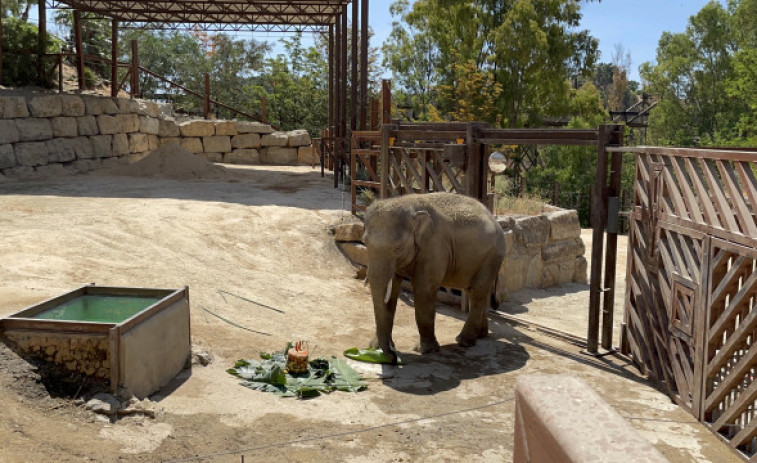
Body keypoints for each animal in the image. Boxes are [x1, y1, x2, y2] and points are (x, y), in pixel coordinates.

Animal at [364, 193, 504, 366]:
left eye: (397, 249)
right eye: (365, 243)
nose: (393, 356)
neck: (410, 205)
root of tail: (494, 219)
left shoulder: (434, 249)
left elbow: (424, 291)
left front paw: (424, 350)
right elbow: (392, 295)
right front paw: (374, 347)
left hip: (492, 257)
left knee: (478, 292)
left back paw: (463, 341)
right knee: (475, 292)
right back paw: (481, 335)